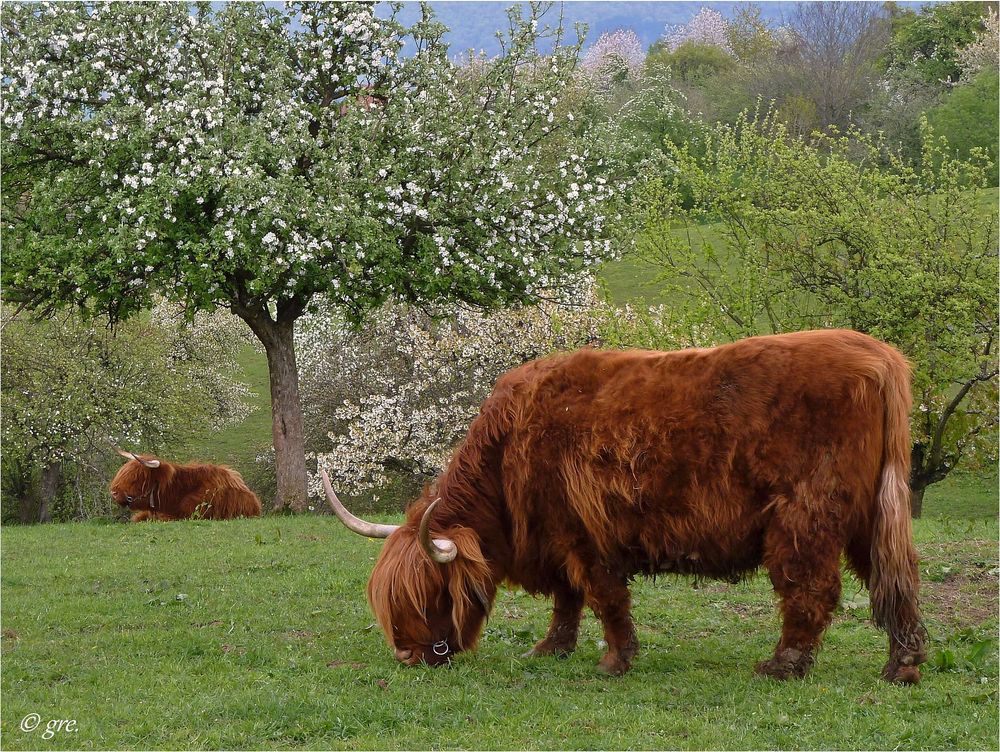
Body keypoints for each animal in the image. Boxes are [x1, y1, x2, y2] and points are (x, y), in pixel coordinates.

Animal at [328, 332, 928, 684]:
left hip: (806, 515)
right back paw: (902, 666)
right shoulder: (556, 540)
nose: (407, 656)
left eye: (429, 593)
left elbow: (603, 597)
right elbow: (567, 599)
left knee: (810, 588)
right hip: (871, 516)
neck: (508, 453)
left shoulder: (583, 533)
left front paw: (615, 661)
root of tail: (878, 357)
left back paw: (783, 666)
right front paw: (551, 649)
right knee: (894, 580)